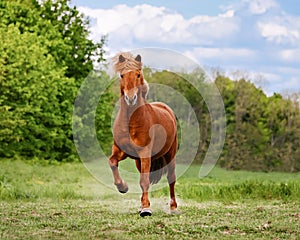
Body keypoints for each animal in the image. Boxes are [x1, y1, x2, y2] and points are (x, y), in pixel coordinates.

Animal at [108, 52, 177, 218]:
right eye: (121, 75)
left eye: (138, 74)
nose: (130, 98)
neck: (130, 122)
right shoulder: (120, 151)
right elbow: (112, 162)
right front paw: (123, 187)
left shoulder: (145, 153)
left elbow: (144, 181)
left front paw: (146, 209)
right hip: (139, 161)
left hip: (170, 155)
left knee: (171, 179)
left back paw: (173, 208)